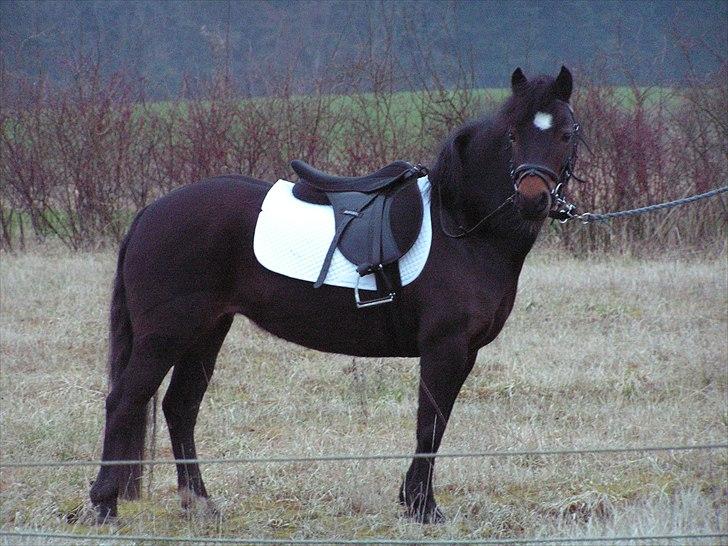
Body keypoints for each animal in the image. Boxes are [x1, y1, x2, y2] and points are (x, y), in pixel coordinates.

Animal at [90, 66, 581, 524]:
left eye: (566, 131)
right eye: (513, 134)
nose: (532, 199)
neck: (461, 225)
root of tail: (150, 213)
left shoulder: (466, 351)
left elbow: (436, 424)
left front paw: (413, 501)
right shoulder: (445, 346)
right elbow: (430, 423)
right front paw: (423, 507)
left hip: (207, 330)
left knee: (180, 406)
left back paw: (200, 504)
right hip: (166, 334)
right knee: (125, 401)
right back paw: (104, 505)